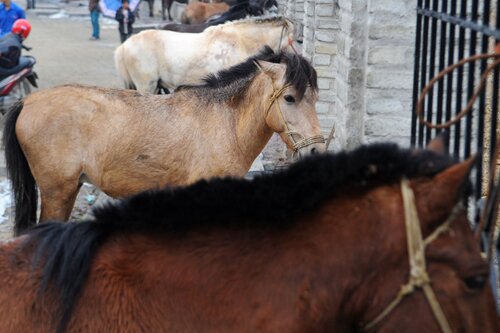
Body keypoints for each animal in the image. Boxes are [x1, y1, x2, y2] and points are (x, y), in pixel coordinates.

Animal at [2, 48, 324, 236]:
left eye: (314, 97)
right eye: (290, 98)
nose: (316, 149)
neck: (223, 121)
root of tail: (27, 101)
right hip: (58, 192)